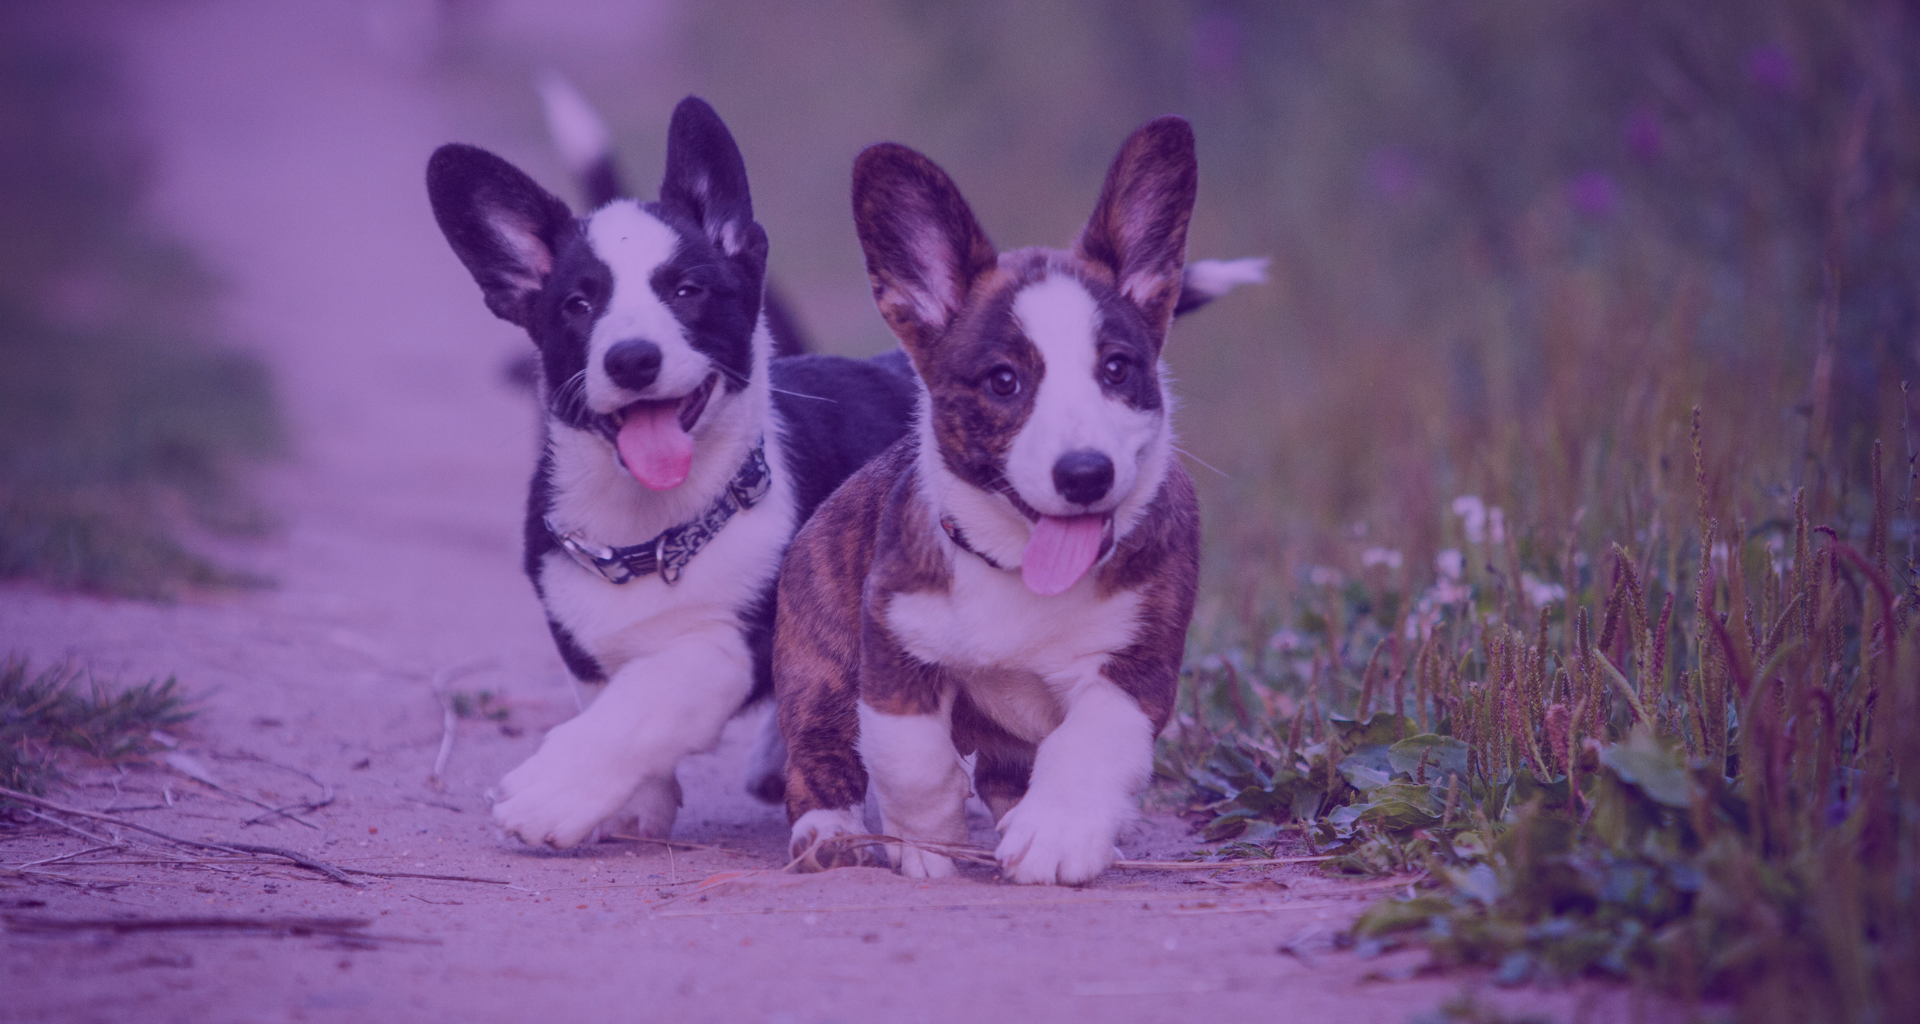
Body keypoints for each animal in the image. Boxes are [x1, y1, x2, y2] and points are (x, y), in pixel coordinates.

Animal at [430, 97, 921, 845]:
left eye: (688, 291)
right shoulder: (579, 631)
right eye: (578, 305)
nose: (632, 358)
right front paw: (636, 804)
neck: (651, 527)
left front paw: (551, 792)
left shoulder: (733, 641)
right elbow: (609, 690)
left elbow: (652, 692)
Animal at [775, 115, 1198, 879]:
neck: (1019, 569)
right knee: (819, 751)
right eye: (1004, 382)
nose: (1085, 474)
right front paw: (927, 847)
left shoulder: (1136, 668)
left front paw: (1057, 835)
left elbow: (1090, 744)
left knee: (1009, 773)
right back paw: (827, 833)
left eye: (1117, 370)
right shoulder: (893, 648)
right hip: (817, 666)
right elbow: (913, 760)